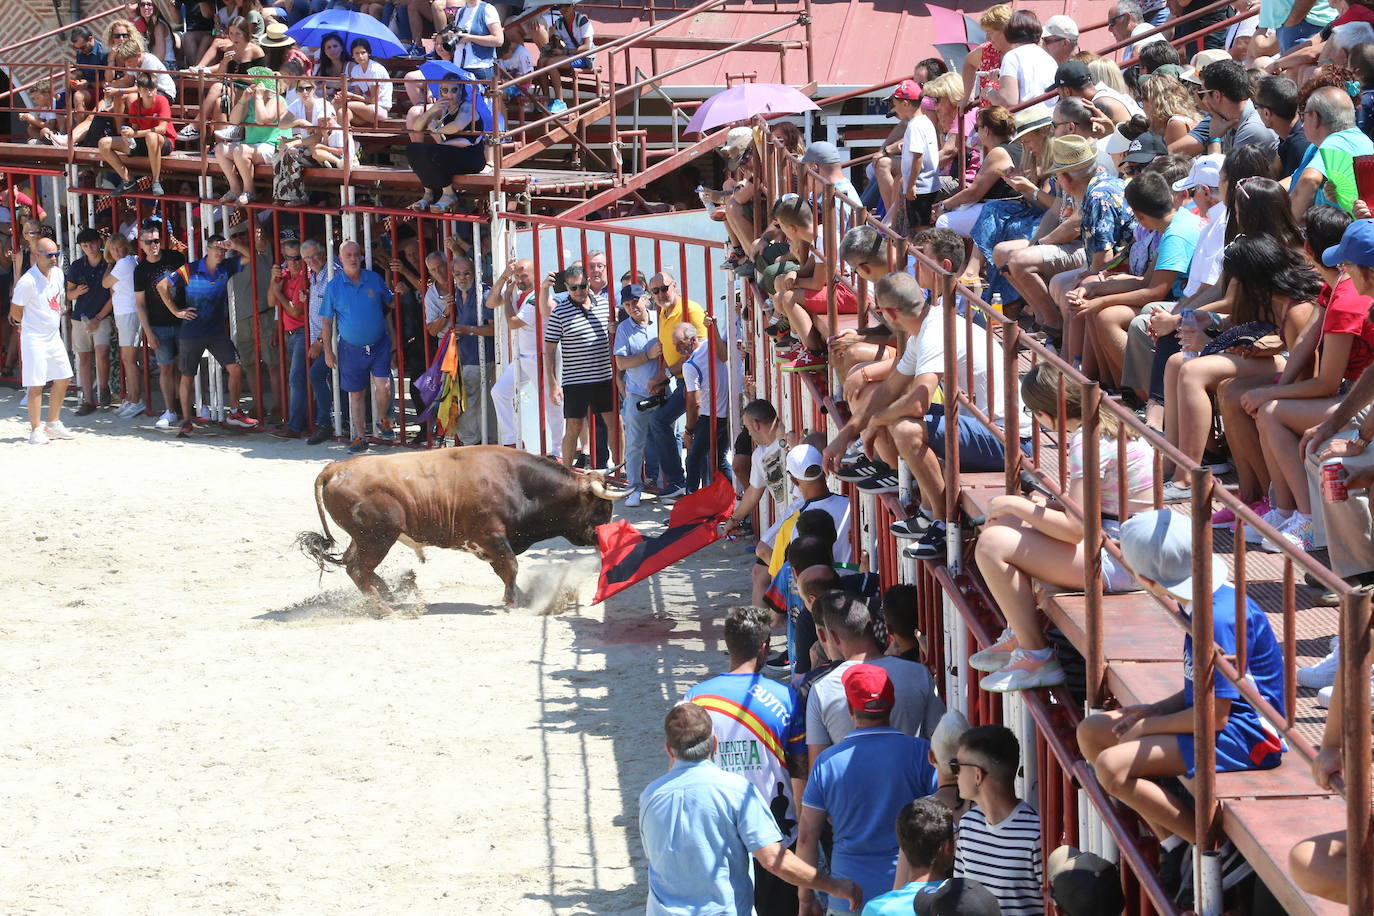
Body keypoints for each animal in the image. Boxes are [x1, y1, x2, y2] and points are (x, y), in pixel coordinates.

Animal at [298, 444, 629, 609]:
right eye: (602, 508)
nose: (604, 541)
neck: (517, 481)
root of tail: (335, 468)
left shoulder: (490, 542)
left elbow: (505, 570)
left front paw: (519, 597)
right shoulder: (491, 535)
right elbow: (510, 566)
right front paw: (512, 601)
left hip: (364, 538)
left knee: (354, 566)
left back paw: (389, 596)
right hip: (377, 537)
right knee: (358, 568)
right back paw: (385, 607)